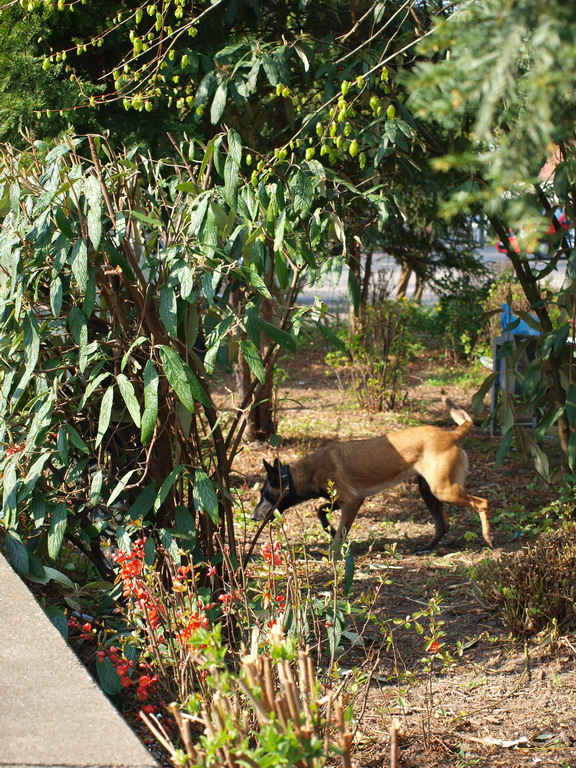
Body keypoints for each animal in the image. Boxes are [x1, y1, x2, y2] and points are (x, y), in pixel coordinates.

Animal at [252, 400, 490, 548]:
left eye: (264, 494)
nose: (253, 517)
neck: (308, 471)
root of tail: (453, 434)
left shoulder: (352, 501)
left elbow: (338, 532)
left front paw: (334, 550)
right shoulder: (341, 499)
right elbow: (320, 511)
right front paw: (329, 530)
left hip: (443, 490)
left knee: (482, 503)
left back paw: (488, 538)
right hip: (428, 490)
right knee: (443, 525)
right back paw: (426, 548)